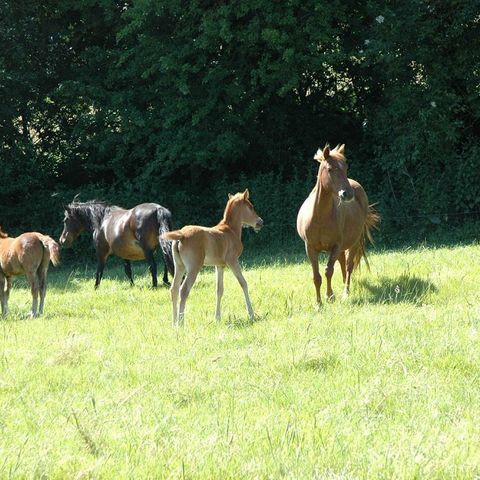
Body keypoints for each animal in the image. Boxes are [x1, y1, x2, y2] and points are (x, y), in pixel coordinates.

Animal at [162, 189, 262, 328]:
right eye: (251, 207)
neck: (230, 230)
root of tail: (181, 235)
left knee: (174, 289)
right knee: (184, 290)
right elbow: (243, 283)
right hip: (193, 268)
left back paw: (174, 324)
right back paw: (181, 324)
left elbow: (219, 290)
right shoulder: (233, 261)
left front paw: (217, 318)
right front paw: (251, 314)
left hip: (179, 266)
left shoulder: (219, 266)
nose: (260, 222)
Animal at [296, 144, 378, 306]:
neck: (319, 217)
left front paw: (330, 296)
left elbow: (328, 271)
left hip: (353, 243)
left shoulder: (335, 246)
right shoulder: (310, 248)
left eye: (345, 167)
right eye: (329, 169)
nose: (347, 194)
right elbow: (316, 276)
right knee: (342, 264)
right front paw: (318, 304)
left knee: (348, 266)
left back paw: (346, 292)